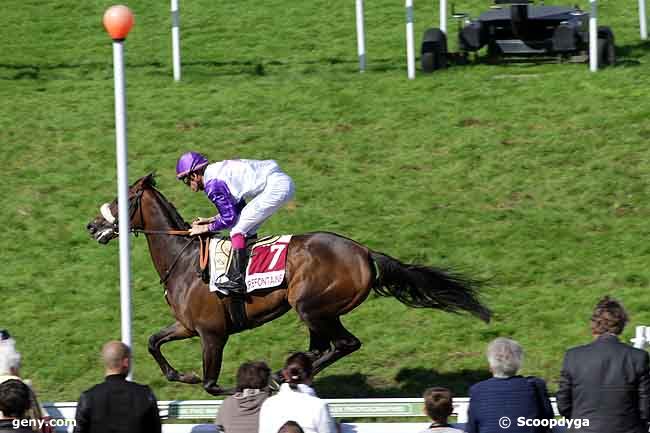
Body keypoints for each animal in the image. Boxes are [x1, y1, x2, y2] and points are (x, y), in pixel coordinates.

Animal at [87, 174, 492, 394]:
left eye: (122, 199)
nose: (92, 225)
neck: (184, 259)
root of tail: (364, 251)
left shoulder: (212, 334)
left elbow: (212, 384)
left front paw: (246, 385)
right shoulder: (188, 326)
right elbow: (153, 342)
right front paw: (179, 374)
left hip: (312, 306)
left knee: (342, 344)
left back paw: (283, 375)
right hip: (321, 312)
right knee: (325, 347)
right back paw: (289, 372)